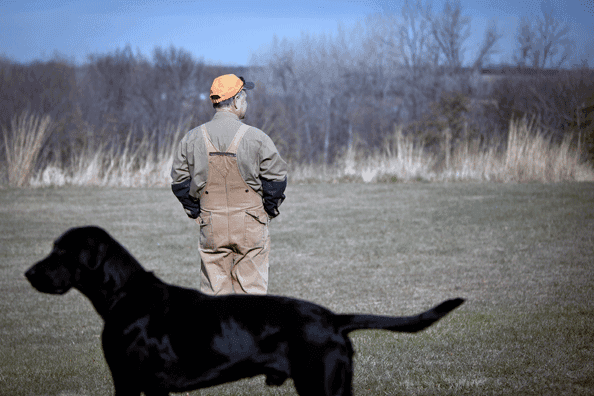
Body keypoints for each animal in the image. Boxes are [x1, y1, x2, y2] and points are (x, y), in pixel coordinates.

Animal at [26, 226, 462, 396]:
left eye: (61, 253)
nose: (28, 273)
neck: (123, 296)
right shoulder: (152, 386)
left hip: (320, 383)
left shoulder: (129, 380)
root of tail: (332, 318)